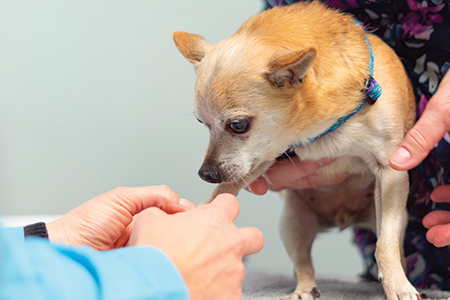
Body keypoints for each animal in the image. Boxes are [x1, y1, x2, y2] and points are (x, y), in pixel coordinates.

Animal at [173, 1, 418, 298]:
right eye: (202, 123)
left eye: (238, 125)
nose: (206, 174)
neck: (319, 128)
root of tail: (343, 217)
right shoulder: (262, 156)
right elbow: (224, 190)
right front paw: (196, 218)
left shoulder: (391, 173)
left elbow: (385, 244)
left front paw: (398, 284)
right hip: (292, 224)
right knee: (303, 263)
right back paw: (304, 288)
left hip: (396, 214)